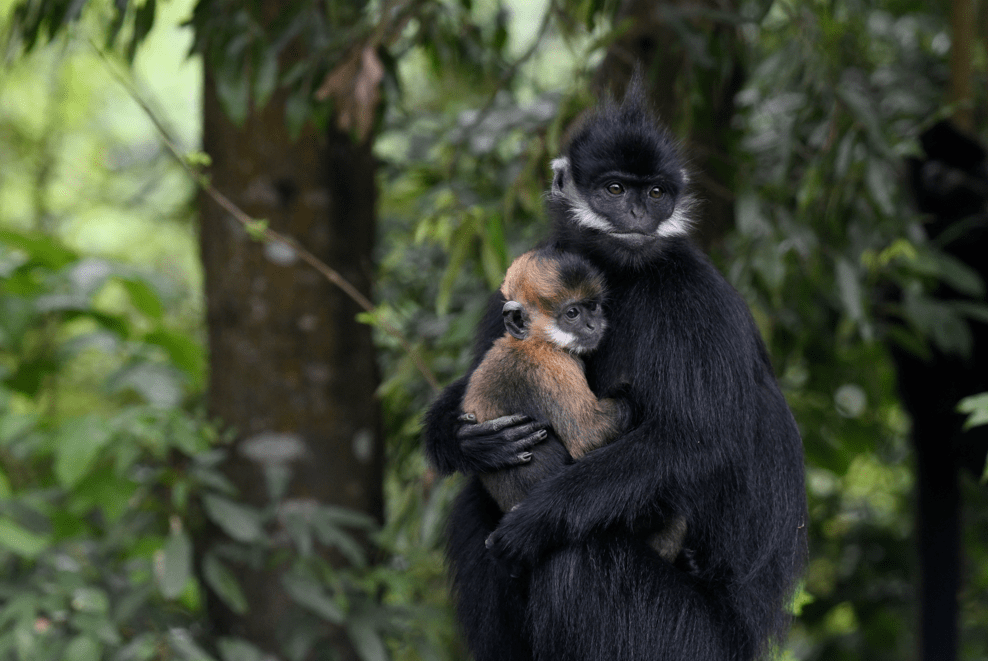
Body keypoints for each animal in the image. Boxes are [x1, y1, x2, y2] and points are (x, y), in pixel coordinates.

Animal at [420, 82, 808, 660]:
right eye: (615, 188)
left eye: (656, 194)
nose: (638, 216)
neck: (623, 277)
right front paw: (466, 440)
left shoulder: (696, 297)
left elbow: (699, 439)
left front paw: (539, 517)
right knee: (474, 504)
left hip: (687, 640)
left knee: (577, 559)